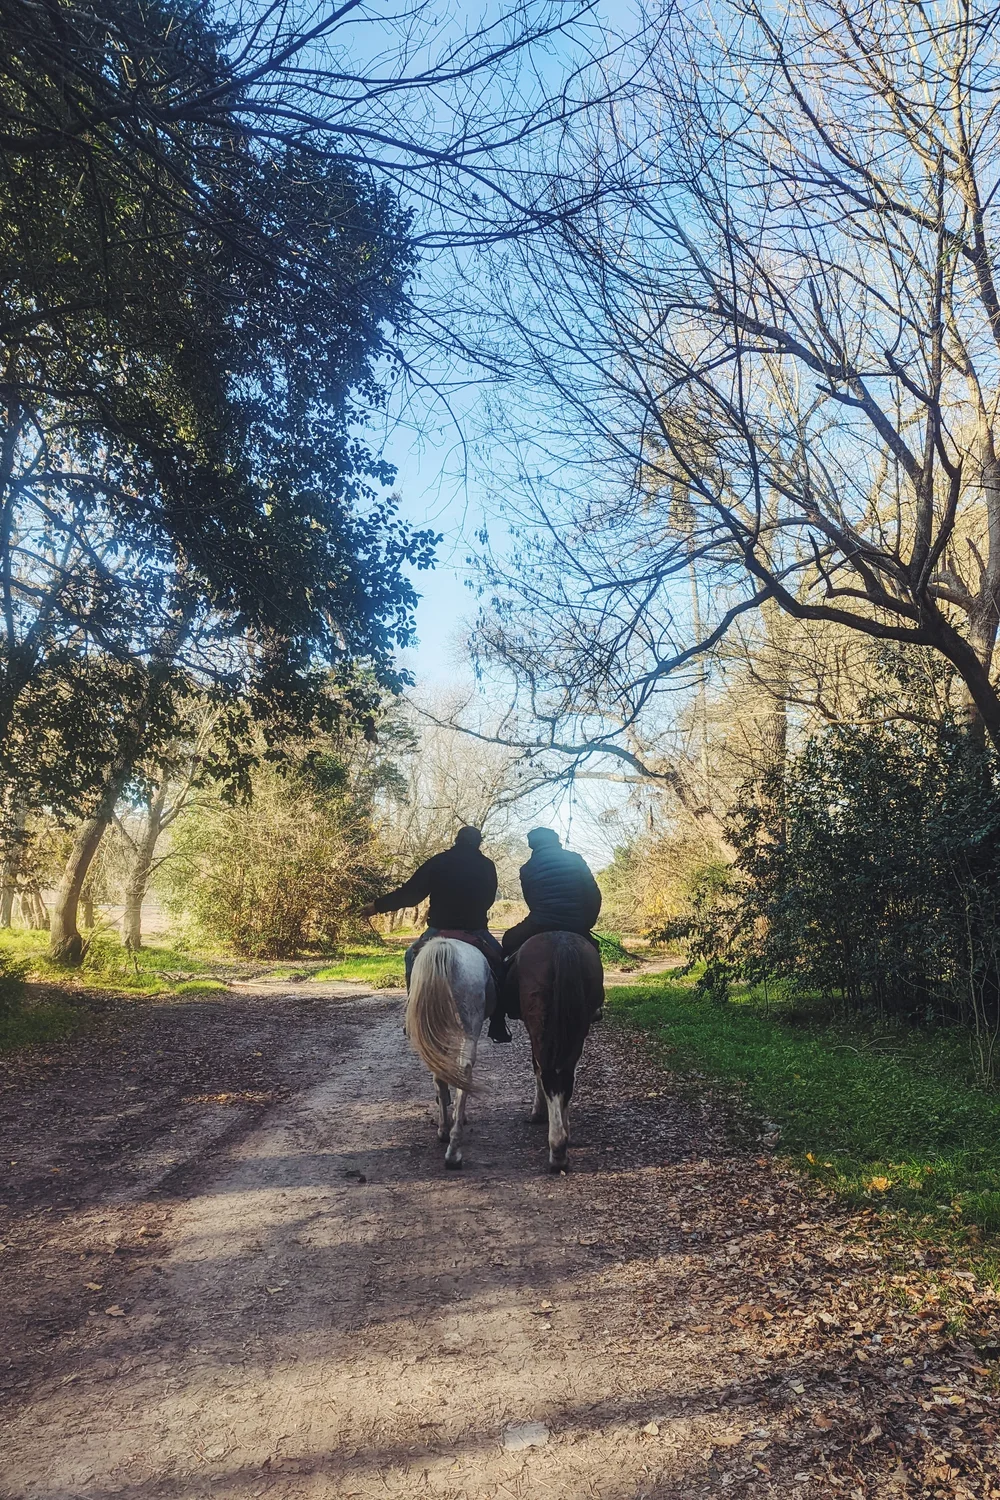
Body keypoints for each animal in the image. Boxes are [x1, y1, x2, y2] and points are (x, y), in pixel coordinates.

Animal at [508, 931, 605, 1172]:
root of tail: (562, 945)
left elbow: (537, 1069)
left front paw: (538, 1112)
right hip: (578, 1029)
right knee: (567, 1078)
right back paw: (563, 1141)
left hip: (540, 1029)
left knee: (550, 1076)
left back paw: (557, 1150)